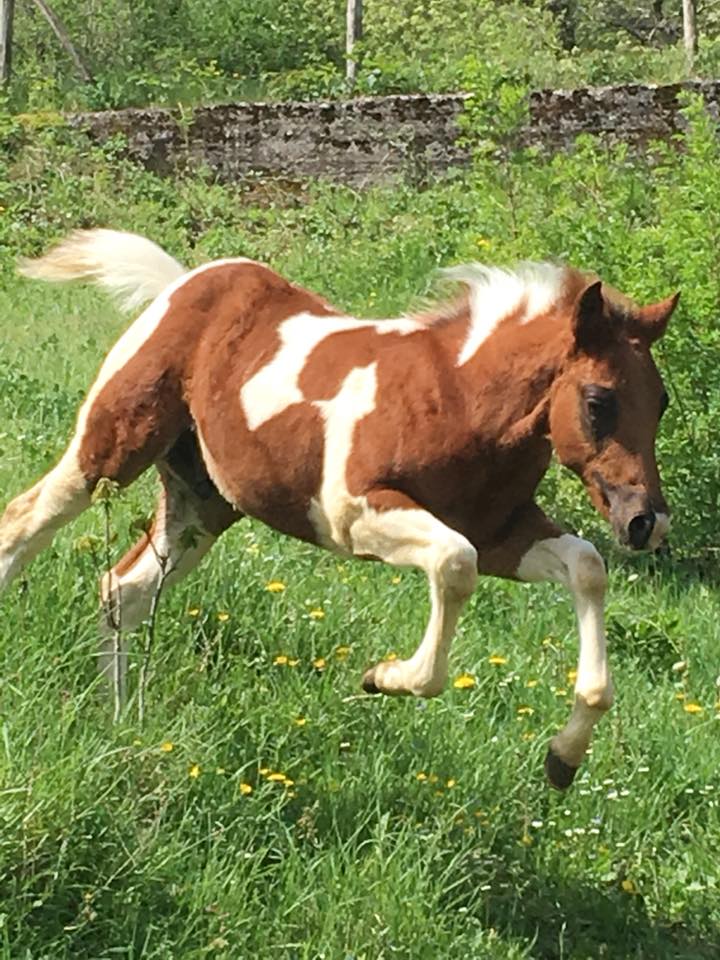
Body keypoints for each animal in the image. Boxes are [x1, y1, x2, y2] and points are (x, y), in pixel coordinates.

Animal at [0, 229, 678, 790]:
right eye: (599, 402)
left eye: (662, 402)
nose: (645, 521)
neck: (458, 402)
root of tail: (185, 281)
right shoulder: (357, 514)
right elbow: (453, 566)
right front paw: (382, 677)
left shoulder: (501, 535)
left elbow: (586, 567)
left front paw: (563, 758)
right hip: (109, 448)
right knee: (25, 521)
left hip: (201, 505)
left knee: (124, 589)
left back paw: (119, 719)